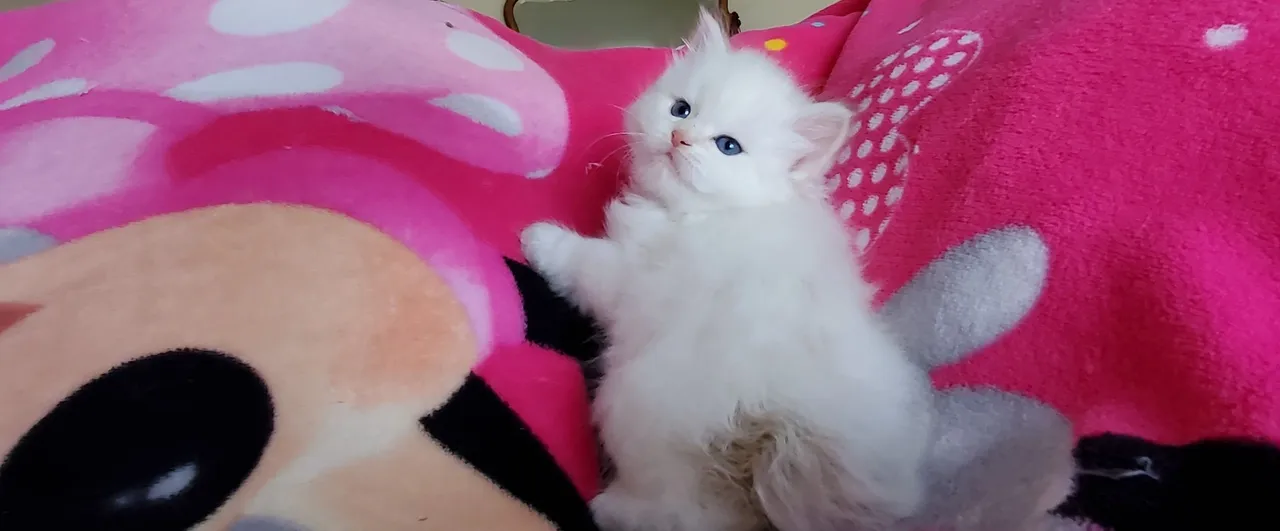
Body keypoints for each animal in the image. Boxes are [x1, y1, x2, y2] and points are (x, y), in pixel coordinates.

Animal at [519, 9, 935, 531]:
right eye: (681, 111)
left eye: (727, 146)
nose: (679, 138)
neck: (713, 213)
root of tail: (771, 427)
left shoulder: (630, 277)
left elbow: (580, 260)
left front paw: (537, 238)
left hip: (637, 403)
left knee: (676, 507)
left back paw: (608, 507)